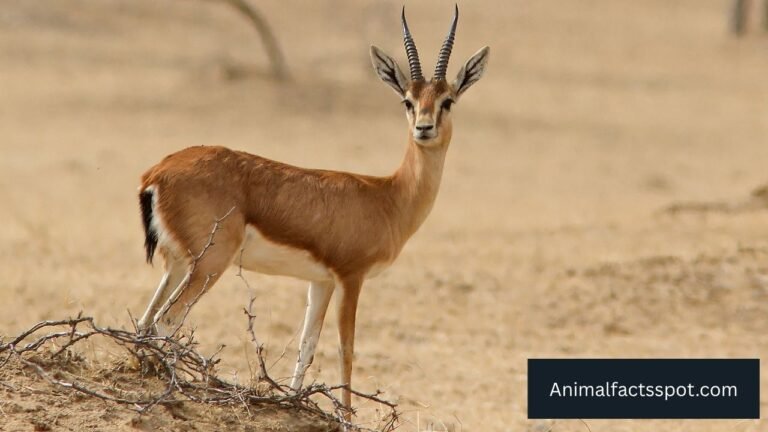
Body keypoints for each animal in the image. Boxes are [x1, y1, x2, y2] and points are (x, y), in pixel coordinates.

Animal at [135, 5, 489, 416]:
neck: (388, 196)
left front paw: (292, 402)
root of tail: (157, 171)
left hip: (178, 264)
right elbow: (345, 349)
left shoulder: (320, 282)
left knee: (145, 321)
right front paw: (347, 417)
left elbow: (307, 345)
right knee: (166, 321)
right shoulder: (351, 277)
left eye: (447, 99)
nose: (424, 128)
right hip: (210, 264)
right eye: (407, 100)